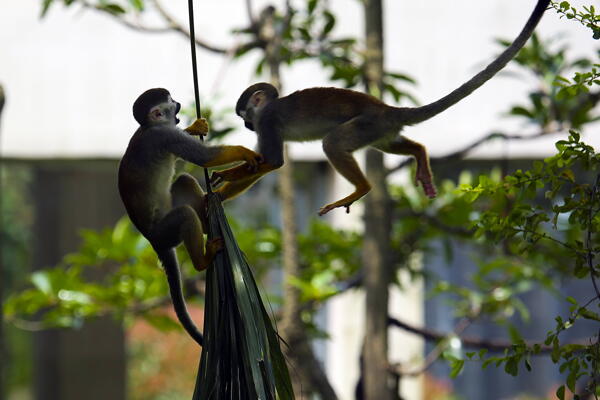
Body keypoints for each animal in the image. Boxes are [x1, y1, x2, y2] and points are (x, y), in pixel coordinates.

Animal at [118, 87, 262, 344]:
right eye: (171, 103)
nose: (178, 104)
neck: (149, 127)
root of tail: (152, 241)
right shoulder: (164, 137)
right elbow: (203, 158)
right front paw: (243, 152)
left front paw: (194, 128)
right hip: (166, 232)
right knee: (184, 214)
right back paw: (201, 261)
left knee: (184, 181)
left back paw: (207, 218)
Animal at [211, 0, 548, 216]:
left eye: (244, 116)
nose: (246, 126)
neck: (265, 111)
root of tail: (386, 108)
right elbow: (260, 162)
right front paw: (217, 197)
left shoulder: (268, 120)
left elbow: (273, 161)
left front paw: (221, 178)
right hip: (380, 129)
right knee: (389, 143)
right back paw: (419, 154)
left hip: (367, 123)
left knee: (333, 142)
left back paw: (362, 188)